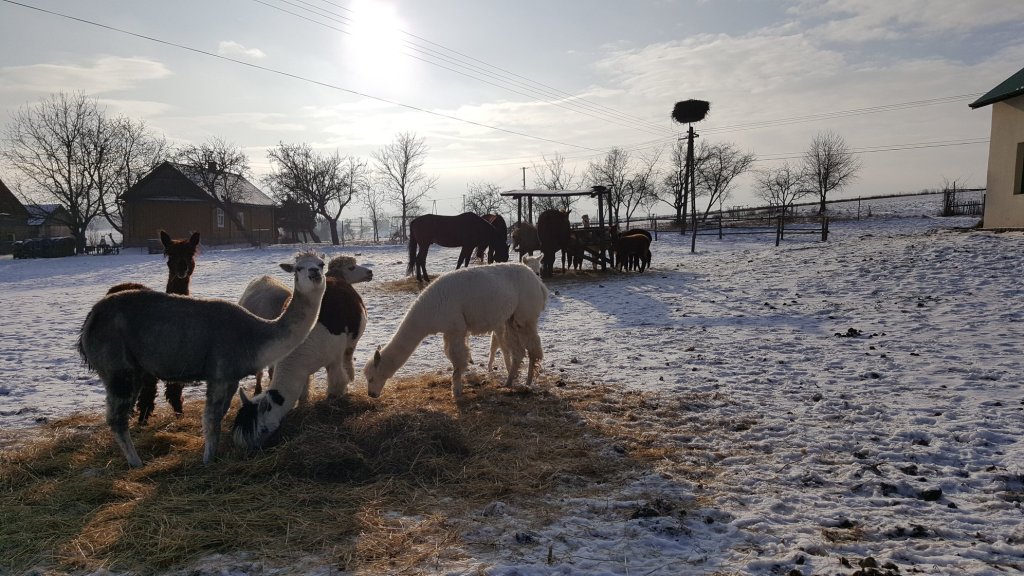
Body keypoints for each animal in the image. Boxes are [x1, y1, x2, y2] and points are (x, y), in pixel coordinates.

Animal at [364, 262, 548, 397]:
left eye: (372, 377)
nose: (371, 394)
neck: (429, 312)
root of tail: (539, 282)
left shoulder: (456, 328)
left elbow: (458, 359)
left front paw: (457, 390)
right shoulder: (449, 330)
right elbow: (453, 357)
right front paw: (457, 387)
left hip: (525, 314)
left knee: (533, 347)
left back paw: (528, 382)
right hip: (511, 319)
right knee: (519, 351)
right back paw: (509, 383)